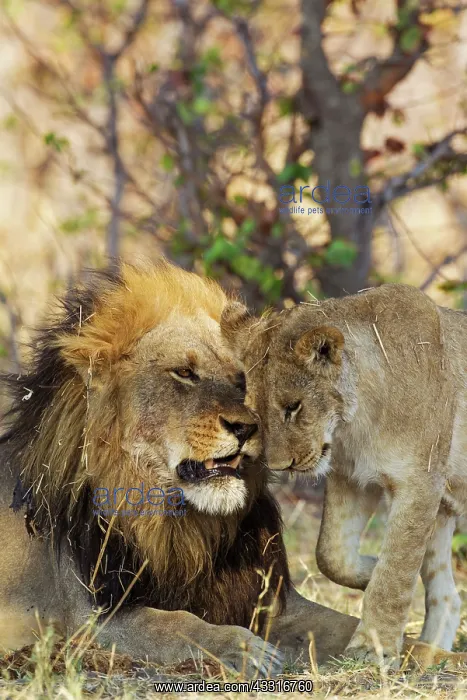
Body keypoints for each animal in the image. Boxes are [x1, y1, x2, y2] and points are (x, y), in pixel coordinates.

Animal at [0, 260, 365, 677]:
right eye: (184, 373)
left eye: (242, 379)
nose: (247, 427)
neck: (181, 524)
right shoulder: (94, 617)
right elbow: (178, 624)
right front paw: (247, 649)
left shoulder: (269, 598)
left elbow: (344, 622)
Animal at [221, 284, 467, 666]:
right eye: (254, 413)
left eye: (293, 407)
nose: (278, 465)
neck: (355, 420)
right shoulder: (351, 478)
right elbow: (331, 554)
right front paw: (369, 572)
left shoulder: (420, 481)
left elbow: (395, 573)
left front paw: (372, 648)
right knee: (448, 598)